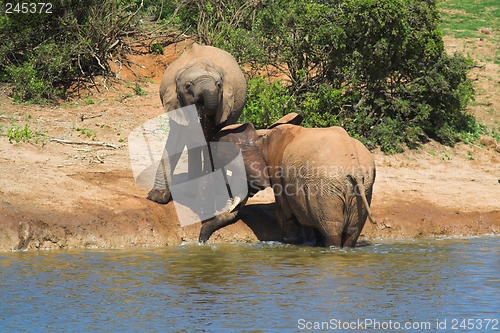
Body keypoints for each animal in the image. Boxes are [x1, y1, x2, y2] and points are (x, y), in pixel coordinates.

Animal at [146, 42, 248, 204]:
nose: (200, 103)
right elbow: (175, 140)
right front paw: (157, 197)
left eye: (219, 85)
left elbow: (212, 141)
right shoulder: (176, 103)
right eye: (188, 86)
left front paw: (206, 199)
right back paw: (191, 193)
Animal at [197, 114, 376, 246]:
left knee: (332, 232)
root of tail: (354, 167)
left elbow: (284, 215)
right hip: (362, 189)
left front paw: (292, 244)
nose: (201, 241)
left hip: (327, 189)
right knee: (351, 233)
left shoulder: (278, 171)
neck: (262, 137)